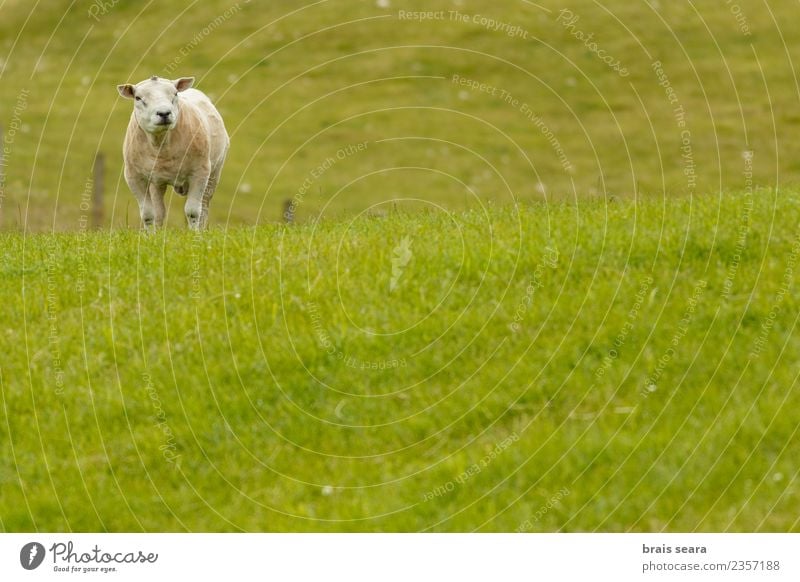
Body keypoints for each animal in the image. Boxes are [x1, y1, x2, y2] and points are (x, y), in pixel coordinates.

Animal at [115, 77, 230, 230]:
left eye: (175, 94)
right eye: (138, 98)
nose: (164, 113)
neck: (161, 146)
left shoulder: (200, 172)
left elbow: (193, 211)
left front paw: (194, 234)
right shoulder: (133, 176)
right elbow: (148, 214)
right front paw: (150, 235)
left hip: (214, 172)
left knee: (204, 207)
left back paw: (201, 230)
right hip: (156, 182)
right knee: (159, 211)